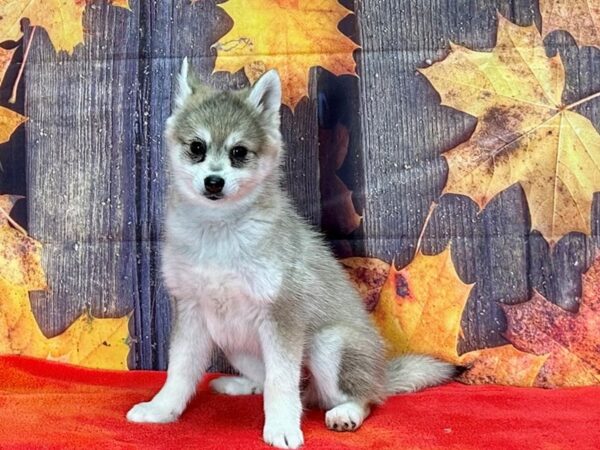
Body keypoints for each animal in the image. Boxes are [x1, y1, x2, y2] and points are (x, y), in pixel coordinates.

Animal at [127, 59, 454, 446]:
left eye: (239, 152)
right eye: (196, 147)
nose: (213, 182)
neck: (220, 233)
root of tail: (382, 372)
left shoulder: (282, 316)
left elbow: (280, 383)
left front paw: (282, 426)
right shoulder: (192, 311)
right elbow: (179, 371)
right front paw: (162, 409)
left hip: (329, 346)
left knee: (360, 397)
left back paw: (346, 413)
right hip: (233, 342)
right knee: (295, 388)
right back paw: (243, 385)